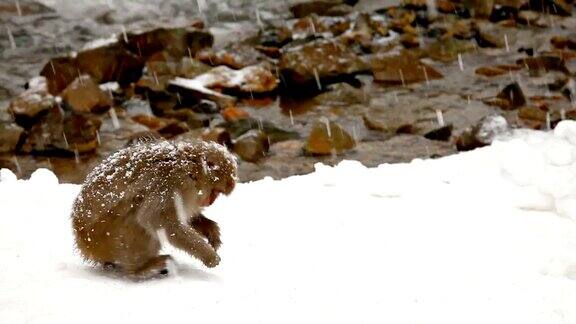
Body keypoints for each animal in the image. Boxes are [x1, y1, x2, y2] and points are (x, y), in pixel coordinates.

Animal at [71, 139, 237, 278]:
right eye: (215, 192)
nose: (210, 202)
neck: (189, 169)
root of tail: (83, 243)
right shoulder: (170, 183)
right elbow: (159, 220)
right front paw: (208, 255)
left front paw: (210, 229)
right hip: (102, 236)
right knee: (137, 217)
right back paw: (140, 269)